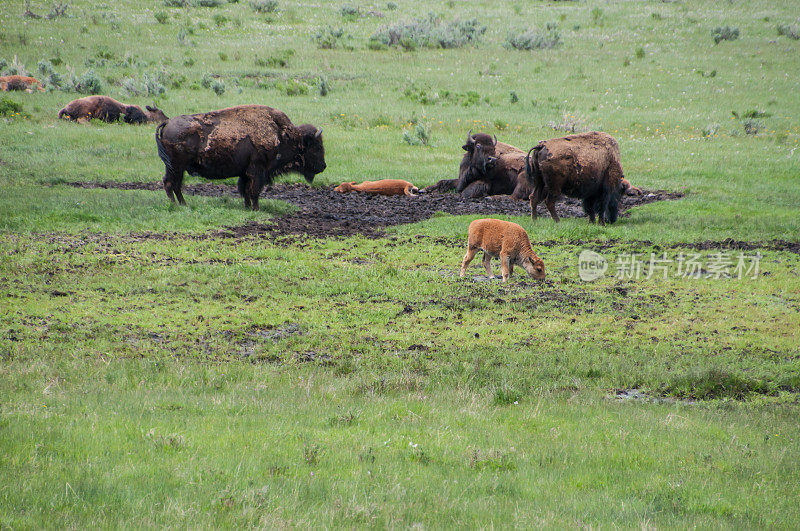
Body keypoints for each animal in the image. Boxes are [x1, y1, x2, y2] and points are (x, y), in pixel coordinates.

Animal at [156, 104, 324, 210]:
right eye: (316, 146)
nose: (323, 166)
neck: (282, 134)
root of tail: (167, 122)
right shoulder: (258, 170)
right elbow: (254, 190)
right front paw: (256, 209)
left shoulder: (245, 173)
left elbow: (245, 190)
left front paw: (248, 208)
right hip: (176, 166)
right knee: (170, 183)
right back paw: (176, 205)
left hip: (178, 168)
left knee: (175, 185)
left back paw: (183, 205)